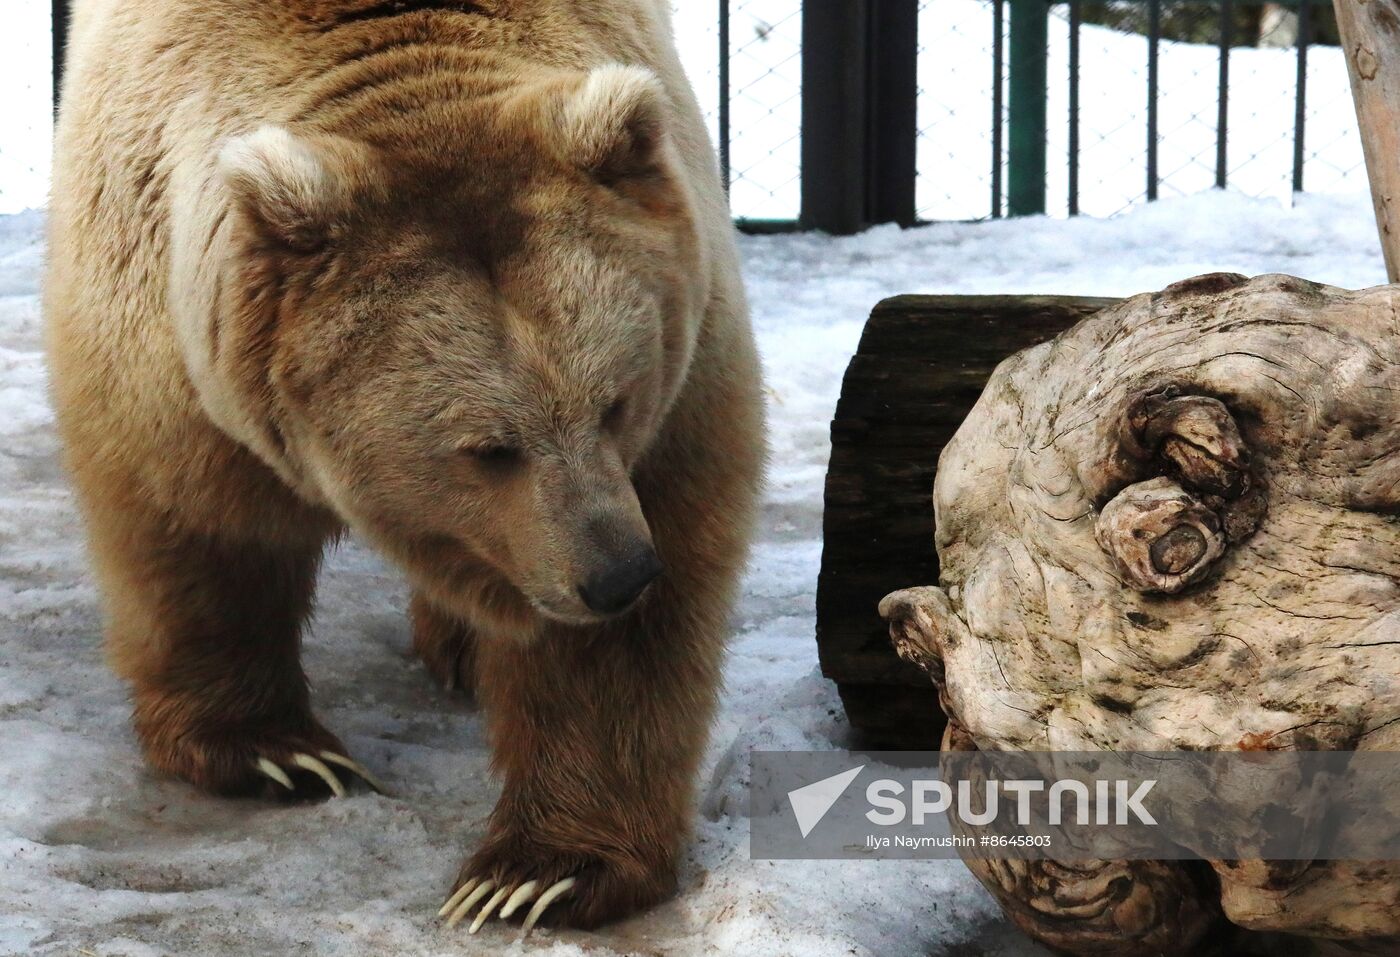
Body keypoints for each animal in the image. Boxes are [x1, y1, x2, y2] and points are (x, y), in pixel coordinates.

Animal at [43, 0, 767, 934]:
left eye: (615, 400)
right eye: (489, 447)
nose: (617, 575)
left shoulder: (681, 356)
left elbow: (629, 628)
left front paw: (538, 873)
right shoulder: (161, 319)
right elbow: (197, 525)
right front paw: (279, 753)